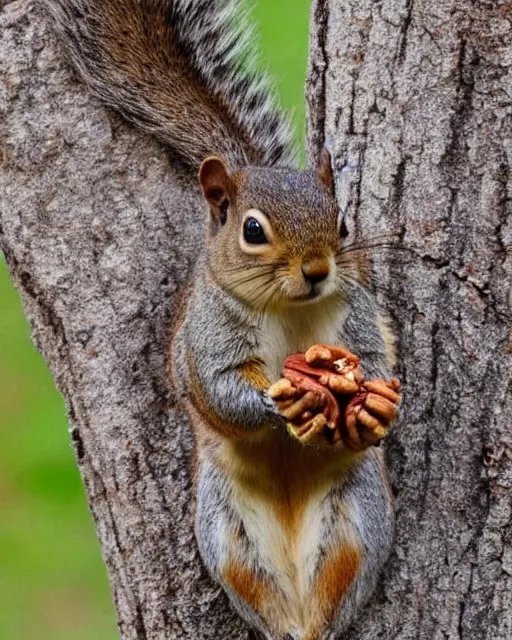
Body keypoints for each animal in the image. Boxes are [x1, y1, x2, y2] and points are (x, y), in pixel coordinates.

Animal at [47, 1, 400, 640]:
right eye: (252, 230)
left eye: (341, 222)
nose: (318, 270)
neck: (289, 308)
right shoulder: (206, 336)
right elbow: (219, 388)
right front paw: (282, 400)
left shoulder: (355, 313)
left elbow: (374, 360)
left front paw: (376, 406)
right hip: (223, 527)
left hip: (357, 515)